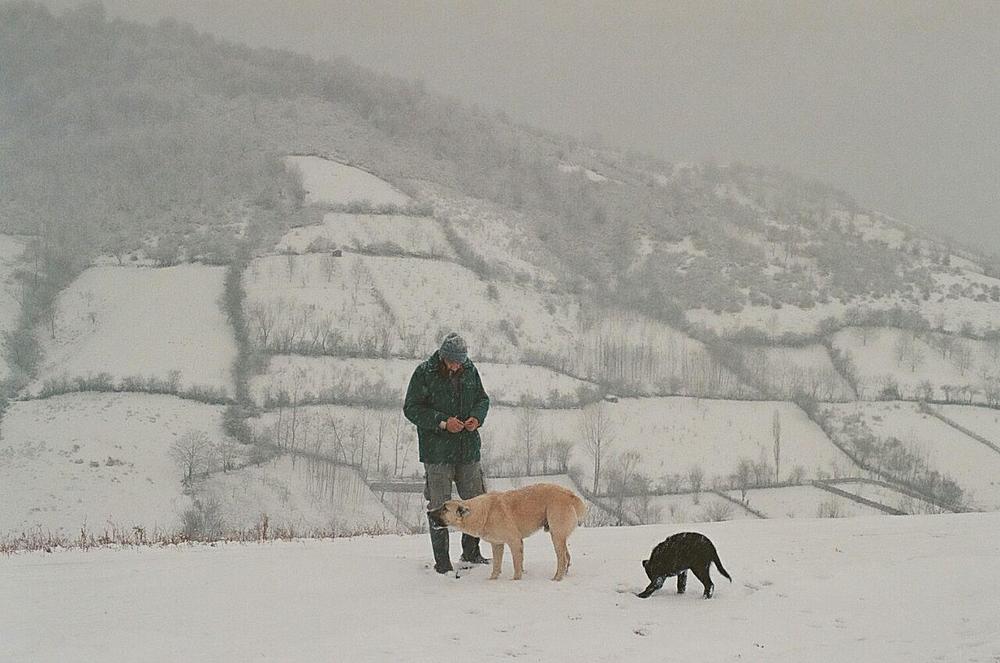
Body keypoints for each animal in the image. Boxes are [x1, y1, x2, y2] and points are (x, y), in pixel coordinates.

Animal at [428, 482, 584, 580]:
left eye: (445, 508)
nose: (428, 512)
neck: (483, 512)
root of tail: (570, 495)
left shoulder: (514, 541)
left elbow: (517, 565)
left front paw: (515, 581)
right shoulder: (497, 545)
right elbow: (497, 566)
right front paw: (492, 580)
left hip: (556, 535)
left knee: (562, 559)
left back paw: (557, 578)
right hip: (559, 536)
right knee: (567, 557)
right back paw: (563, 575)